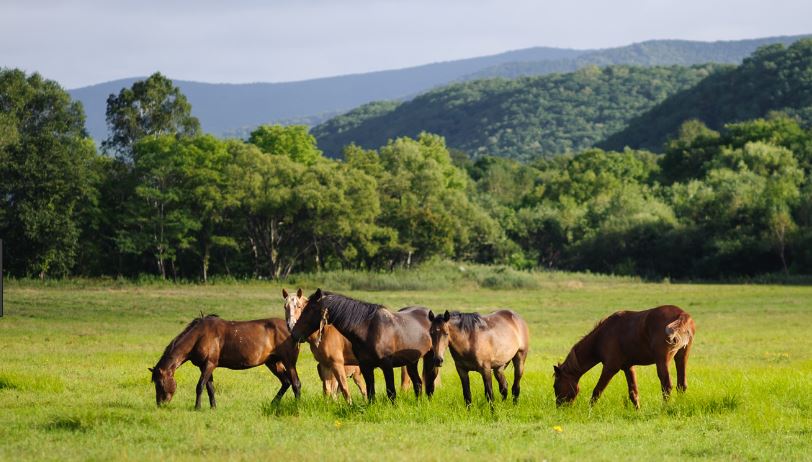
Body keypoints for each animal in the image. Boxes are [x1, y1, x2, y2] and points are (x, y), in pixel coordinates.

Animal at [149, 314, 302, 408]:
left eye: (160, 383)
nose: (160, 404)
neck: (200, 336)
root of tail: (293, 331)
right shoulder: (205, 366)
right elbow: (210, 388)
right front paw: (213, 407)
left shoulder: (209, 364)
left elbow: (200, 386)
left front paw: (197, 407)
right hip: (273, 362)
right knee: (286, 382)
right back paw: (273, 403)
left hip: (289, 362)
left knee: (296, 384)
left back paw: (296, 406)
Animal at [292, 290, 438, 402]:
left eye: (310, 309)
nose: (294, 333)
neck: (369, 329)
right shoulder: (366, 366)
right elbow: (370, 392)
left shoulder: (386, 365)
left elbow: (391, 391)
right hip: (411, 361)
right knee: (418, 383)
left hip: (430, 358)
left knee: (429, 383)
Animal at [552, 306, 696, 408]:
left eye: (555, 386)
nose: (559, 407)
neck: (601, 337)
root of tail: (682, 314)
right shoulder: (628, 367)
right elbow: (633, 393)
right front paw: (638, 411)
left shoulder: (610, 368)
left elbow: (597, 391)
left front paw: (589, 410)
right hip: (682, 356)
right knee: (681, 385)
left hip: (662, 361)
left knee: (667, 385)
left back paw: (665, 408)